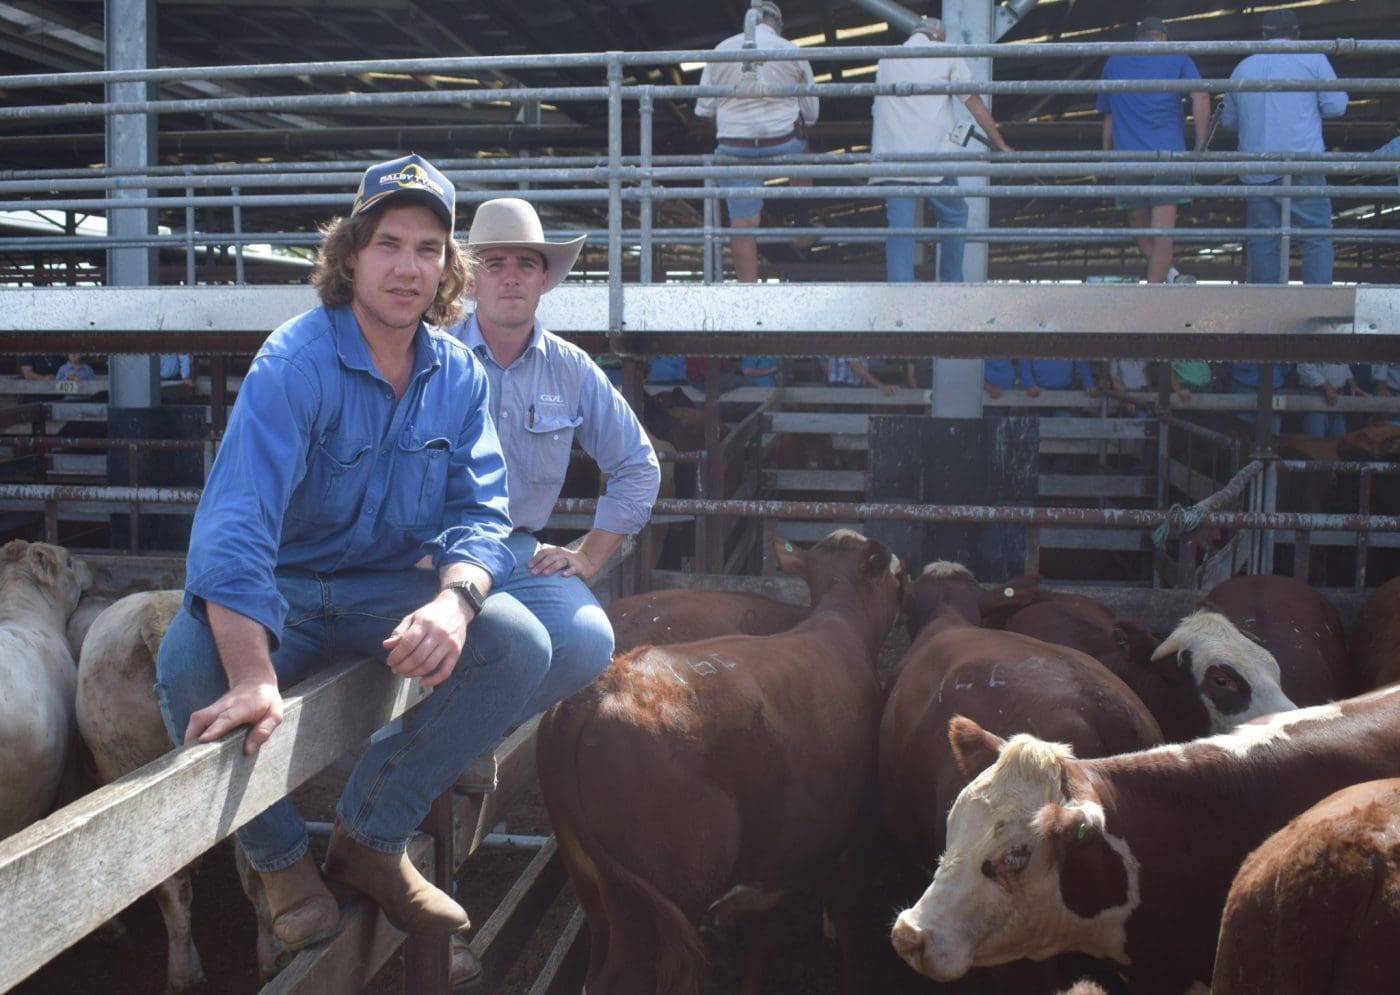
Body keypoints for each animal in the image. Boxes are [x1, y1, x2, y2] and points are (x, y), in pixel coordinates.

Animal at [534, 528, 907, 995]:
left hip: (601, 891)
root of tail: (594, 694)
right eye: (901, 577)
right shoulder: (830, 852)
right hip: (661, 896)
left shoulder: (772, 866)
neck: (838, 624)